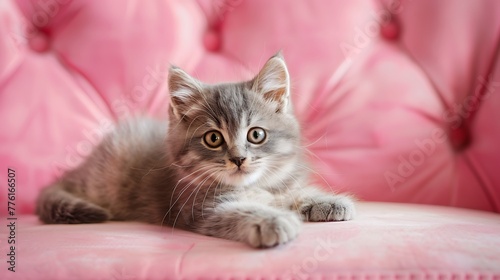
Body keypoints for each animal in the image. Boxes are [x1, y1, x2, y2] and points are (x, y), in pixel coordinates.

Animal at [36, 53, 356, 248]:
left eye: (256, 134)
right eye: (213, 138)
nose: (238, 159)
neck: (251, 186)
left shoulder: (278, 185)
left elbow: (291, 192)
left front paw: (326, 201)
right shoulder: (199, 210)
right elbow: (240, 211)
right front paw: (274, 220)